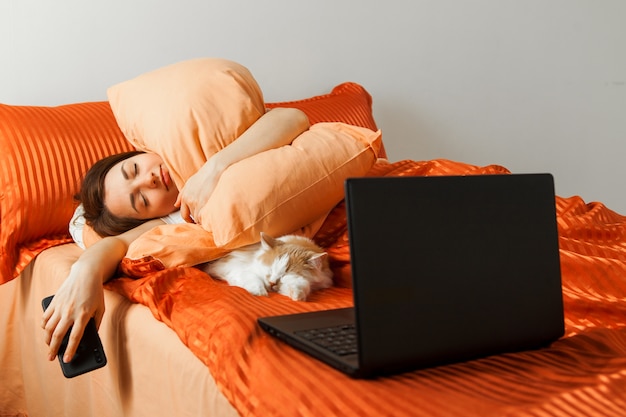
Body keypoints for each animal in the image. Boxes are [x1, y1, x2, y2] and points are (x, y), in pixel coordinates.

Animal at [204, 232, 332, 300]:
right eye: (270, 270)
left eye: (285, 275)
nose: (271, 283)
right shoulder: (237, 267)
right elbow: (253, 279)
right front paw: (258, 292)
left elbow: (300, 285)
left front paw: (297, 294)